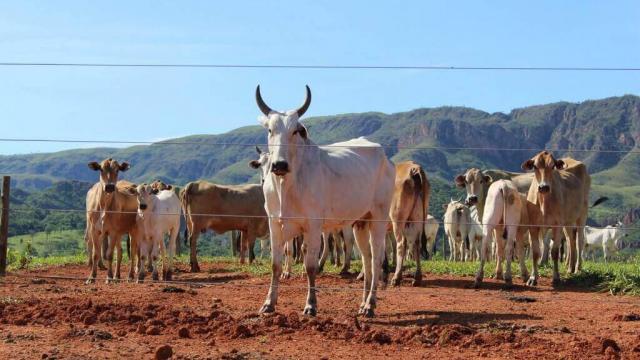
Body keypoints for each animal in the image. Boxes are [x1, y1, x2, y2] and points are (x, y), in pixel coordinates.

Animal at [255, 86, 396, 316]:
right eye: (270, 130)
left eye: (296, 130)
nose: (279, 165)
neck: (286, 185)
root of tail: (385, 156)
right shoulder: (274, 223)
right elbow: (275, 265)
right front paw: (269, 303)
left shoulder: (313, 226)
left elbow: (311, 266)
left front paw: (311, 305)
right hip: (360, 222)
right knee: (366, 259)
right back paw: (362, 303)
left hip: (379, 217)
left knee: (376, 258)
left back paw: (370, 305)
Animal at [524, 151, 592, 284]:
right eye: (535, 166)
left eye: (553, 166)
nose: (543, 187)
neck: (543, 202)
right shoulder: (533, 226)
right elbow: (535, 252)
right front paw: (533, 278)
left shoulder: (557, 225)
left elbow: (554, 252)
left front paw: (556, 277)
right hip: (568, 222)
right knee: (571, 240)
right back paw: (570, 268)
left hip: (582, 215)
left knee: (579, 241)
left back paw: (577, 268)